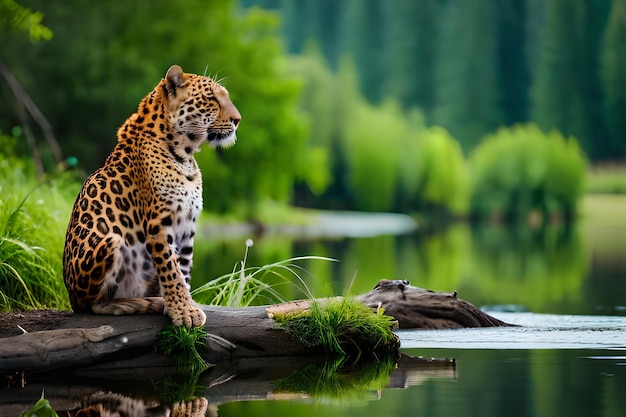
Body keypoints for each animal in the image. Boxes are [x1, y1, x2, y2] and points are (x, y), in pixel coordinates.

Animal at [62, 65, 239, 326]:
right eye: (211, 99)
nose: (238, 120)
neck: (185, 156)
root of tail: (71, 296)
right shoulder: (159, 225)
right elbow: (172, 271)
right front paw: (184, 312)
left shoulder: (188, 227)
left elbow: (183, 271)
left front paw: (184, 306)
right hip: (109, 243)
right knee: (93, 305)